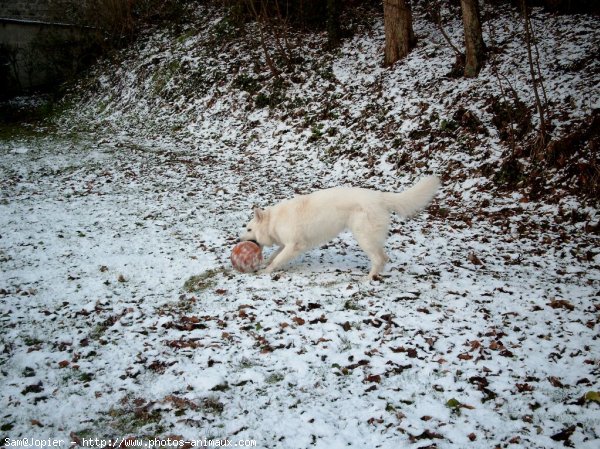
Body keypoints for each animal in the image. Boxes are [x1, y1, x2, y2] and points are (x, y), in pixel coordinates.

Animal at [239, 176, 440, 278]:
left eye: (248, 229)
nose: (237, 240)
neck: (274, 221)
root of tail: (379, 196)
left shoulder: (294, 245)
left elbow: (278, 259)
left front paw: (266, 271)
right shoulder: (287, 244)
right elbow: (274, 255)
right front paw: (266, 262)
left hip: (363, 237)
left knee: (379, 258)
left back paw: (368, 280)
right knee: (384, 257)